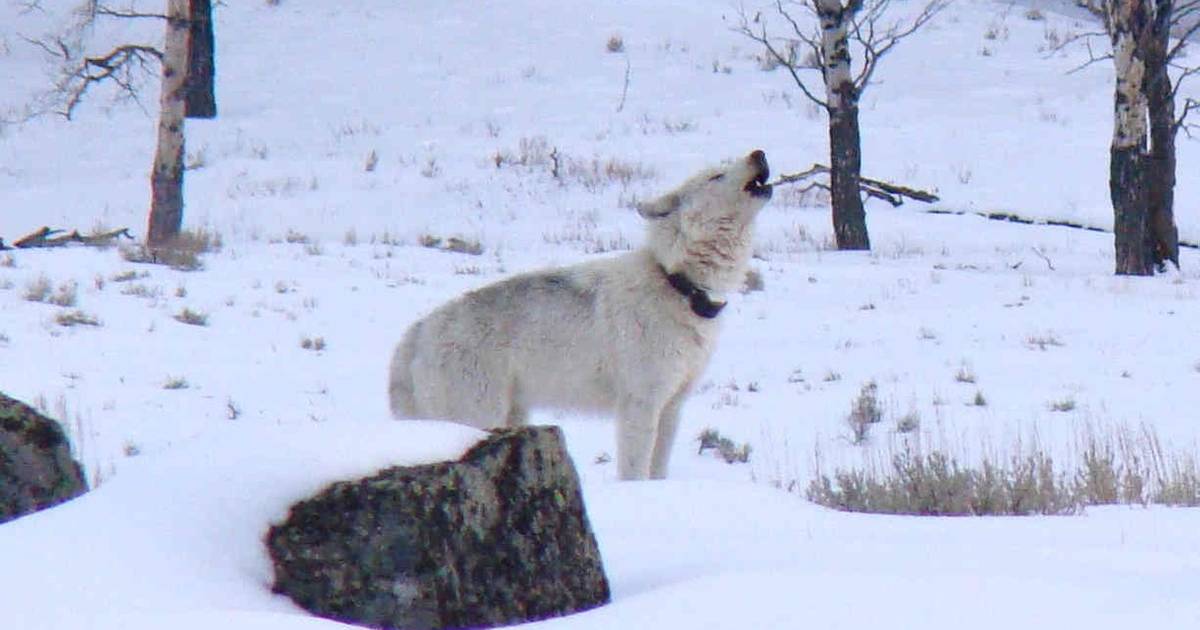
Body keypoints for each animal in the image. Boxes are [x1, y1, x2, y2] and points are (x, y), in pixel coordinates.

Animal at [388, 150, 772, 480]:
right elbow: (634, 472)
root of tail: (416, 333)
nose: (760, 153)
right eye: (716, 175)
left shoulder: (672, 407)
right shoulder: (640, 405)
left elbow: (658, 471)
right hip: (479, 416)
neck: (677, 284)